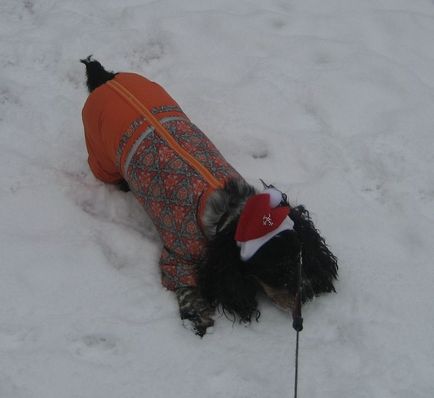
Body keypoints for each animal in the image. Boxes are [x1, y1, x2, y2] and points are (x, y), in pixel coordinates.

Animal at [81, 56, 340, 336]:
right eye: (275, 270)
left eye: (300, 259)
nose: (308, 294)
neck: (231, 214)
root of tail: (106, 78)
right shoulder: (177, 255)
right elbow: (186, 286)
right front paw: (200, 319)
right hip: (100, 157)